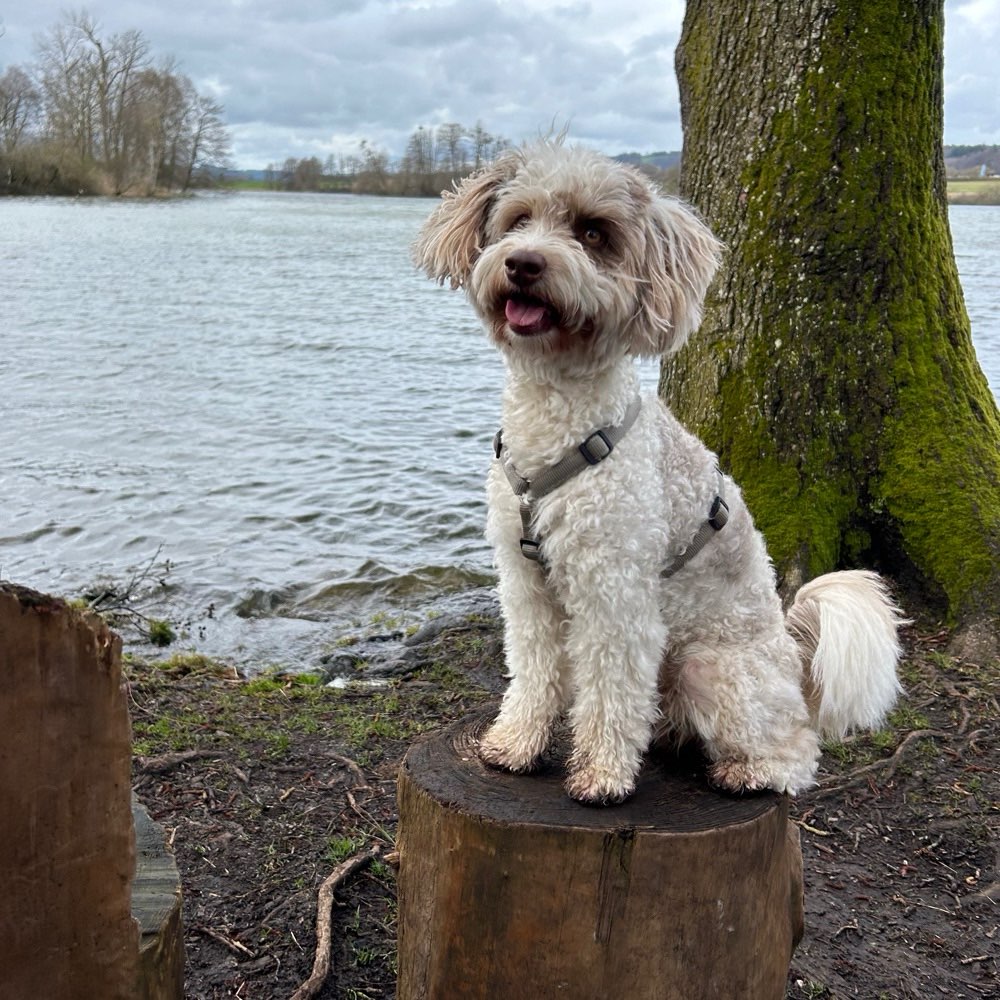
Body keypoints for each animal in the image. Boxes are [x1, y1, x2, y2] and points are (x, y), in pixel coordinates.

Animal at [414, 141, 908, 808]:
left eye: (593, 233)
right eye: (517, 220)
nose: (522, 263)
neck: (557, 418)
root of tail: (794, 660)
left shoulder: (614, 592)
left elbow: (610, 687)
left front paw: (601, 774)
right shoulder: (525, 584)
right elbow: (535, 670)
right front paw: (515, 745)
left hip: (713, 666)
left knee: (797, 750)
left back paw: (750, 771)